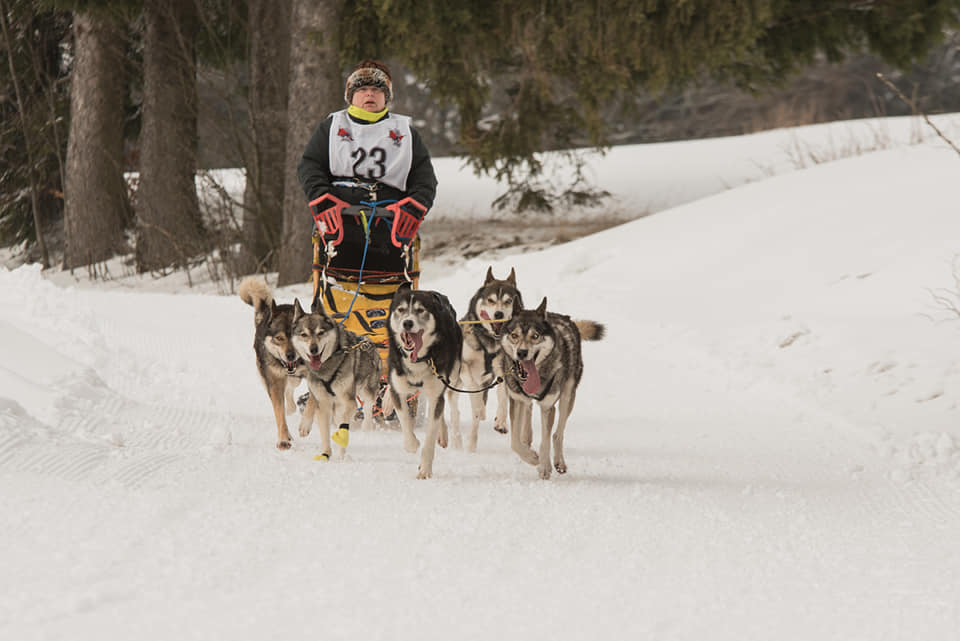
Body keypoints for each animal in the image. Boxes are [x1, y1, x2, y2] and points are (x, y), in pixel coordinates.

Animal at [290, 298, 380, 458]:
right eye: (304, 334)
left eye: (321, 332)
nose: (313, 349)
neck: (326, 368)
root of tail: (367, 340)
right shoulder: (323, 404)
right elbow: (325, 433)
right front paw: (326, 454)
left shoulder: (349, 401)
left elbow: (344, 423)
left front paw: (341, 447)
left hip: (366, 390)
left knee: (368, 407)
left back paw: (366, 427)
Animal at [390, 282, 464, 478]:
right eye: (400, 310)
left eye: (420, 310)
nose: (407, 323)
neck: (419, 359)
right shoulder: (397, 388)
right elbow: (404, 418)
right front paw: (412, 444)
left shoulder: (437, 391)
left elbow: (430, 434)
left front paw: (424, 469)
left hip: (451, 379)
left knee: (450, 404)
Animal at [450, 264, 524, 450]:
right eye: (490, 300)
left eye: (508, 301)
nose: (498, 314)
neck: (488, 342)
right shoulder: (464, 367)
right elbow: (473, 390)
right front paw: (479, 406)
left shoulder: (501, 368)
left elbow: (502, 396)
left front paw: (501, 421)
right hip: (453, 382)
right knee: (454, 411)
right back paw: (454, 440)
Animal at [498, 298, 604, 478]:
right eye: (514, 335)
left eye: (535, 336)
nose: (522, 352)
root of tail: (566, 318)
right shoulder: (516, 400)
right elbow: (514, 442)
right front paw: (531, 458)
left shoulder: (548, 407)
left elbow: (546, 440)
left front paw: (544, 466)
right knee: (528, 412)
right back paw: (527, 438)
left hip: (567, 397)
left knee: (557, 434)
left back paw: (558, 462)